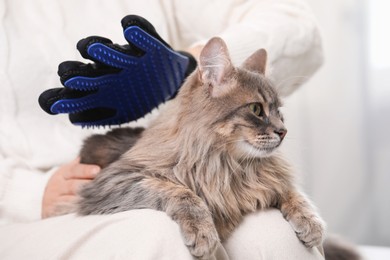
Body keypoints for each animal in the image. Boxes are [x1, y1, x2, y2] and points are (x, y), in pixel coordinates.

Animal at [77, 36, 324, 258]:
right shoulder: (114, 180)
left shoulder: (268, 179)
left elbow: (291, 191)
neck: (231, 166)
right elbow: (182, 193)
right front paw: (203, 233)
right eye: (256, 109)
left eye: (279, 113)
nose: (283, 131)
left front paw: (312, 223)